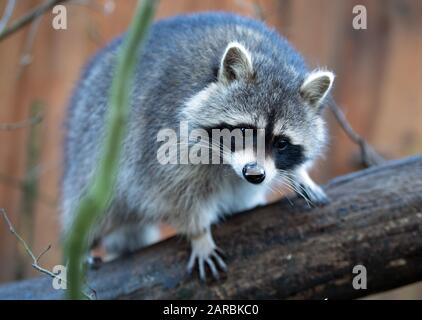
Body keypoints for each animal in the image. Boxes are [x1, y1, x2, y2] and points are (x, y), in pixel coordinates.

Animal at [61, 12, 332, 280]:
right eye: (245, 131)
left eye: (282, 143)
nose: (254, 174)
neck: (269, 57)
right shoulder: (161, 138)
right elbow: (173, 192)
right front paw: (199, 234)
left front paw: (300, 174)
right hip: (90, 152)